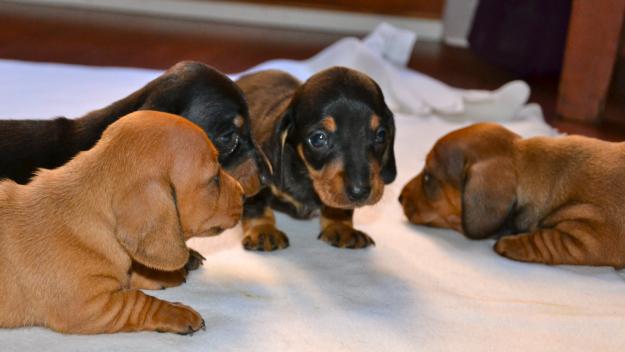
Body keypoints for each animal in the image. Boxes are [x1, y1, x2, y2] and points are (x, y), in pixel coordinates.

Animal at [234, 67, 394, 252]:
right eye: (318, 138)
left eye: (381, 135)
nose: (360, 192)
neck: (305, 174)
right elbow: (257, 203)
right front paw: (262, 230)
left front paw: (341, 226)